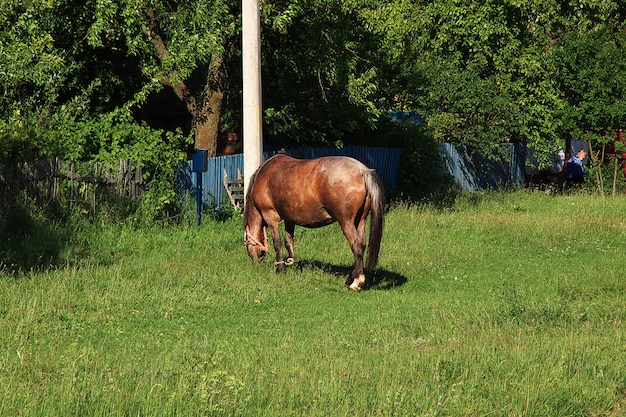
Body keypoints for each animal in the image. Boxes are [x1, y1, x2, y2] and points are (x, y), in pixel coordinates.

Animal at [241, 151, 382, 290]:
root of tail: (362, 170)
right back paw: (351, 278)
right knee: (362, 244)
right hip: (360, 220)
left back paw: (355, 281)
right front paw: (293, 266)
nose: (255, 263)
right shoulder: (289, 219)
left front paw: (280, 269)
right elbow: (289, 242)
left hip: (346, 222)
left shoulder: (270, 216)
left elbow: (277, 243)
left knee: (356, 245)